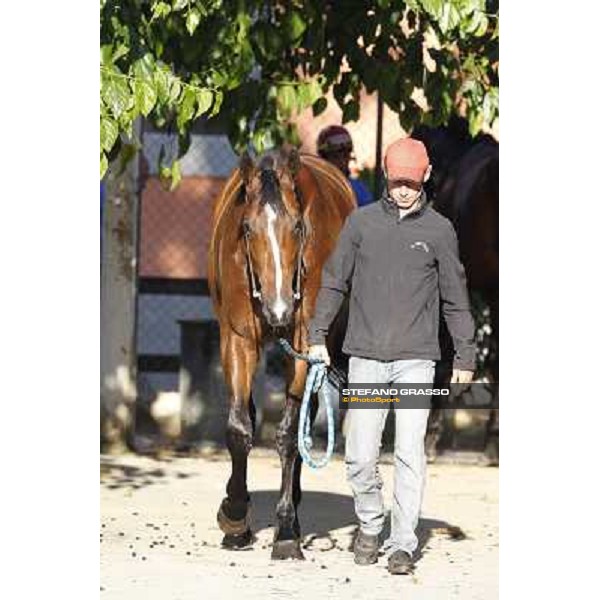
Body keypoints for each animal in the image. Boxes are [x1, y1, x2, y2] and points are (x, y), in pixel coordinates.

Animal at [207, 145, 356, 556]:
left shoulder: (306, 343)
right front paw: (235, 517)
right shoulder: (238, 339)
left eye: (298, 228)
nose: (279, 310)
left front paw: (286, 530)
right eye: (246, 228)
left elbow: (289, 434)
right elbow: (239, 428)